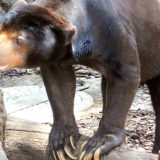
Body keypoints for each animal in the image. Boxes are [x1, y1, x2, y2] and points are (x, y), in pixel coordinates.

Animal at [0, 0, 160, 159]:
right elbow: (59, 82)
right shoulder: (56, 56)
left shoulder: (114, 34)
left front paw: (97, 146)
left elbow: (126, 74)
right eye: (1, 30)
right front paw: (61, 143)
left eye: (19, 40)